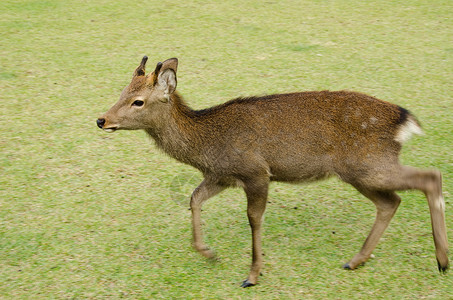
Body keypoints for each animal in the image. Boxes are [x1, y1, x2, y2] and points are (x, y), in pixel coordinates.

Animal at [97, 55, 446, 286]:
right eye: (122, 93)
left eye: (138, 101)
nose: (102, 119)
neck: (206, 147)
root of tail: (403, 120)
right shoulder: (222, 176)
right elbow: (194, 199)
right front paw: (209, 253)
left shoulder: (256, 171)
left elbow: (254, 218)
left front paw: (252, 275)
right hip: (360, 171)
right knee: (391, 201)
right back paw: (355, 261)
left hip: (369, 164)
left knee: (429, 177)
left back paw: (442, 260)